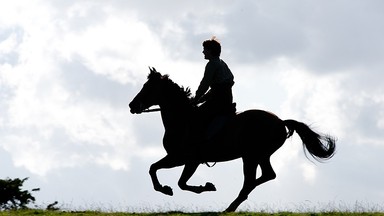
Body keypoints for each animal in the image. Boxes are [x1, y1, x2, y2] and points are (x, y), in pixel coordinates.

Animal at [129, 66, 336, 212]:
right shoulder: (183, 160)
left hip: (251, 157)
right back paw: (235, 203)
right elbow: (159, 171)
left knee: (251, 180)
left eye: (148, 88)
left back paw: (231, 205)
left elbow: (169, 177)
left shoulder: (184, 159)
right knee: (267, 175)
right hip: (260, 156)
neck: (182, 119)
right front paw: (175, 188)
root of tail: (280, 122)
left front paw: (176, 188)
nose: (132, 105)